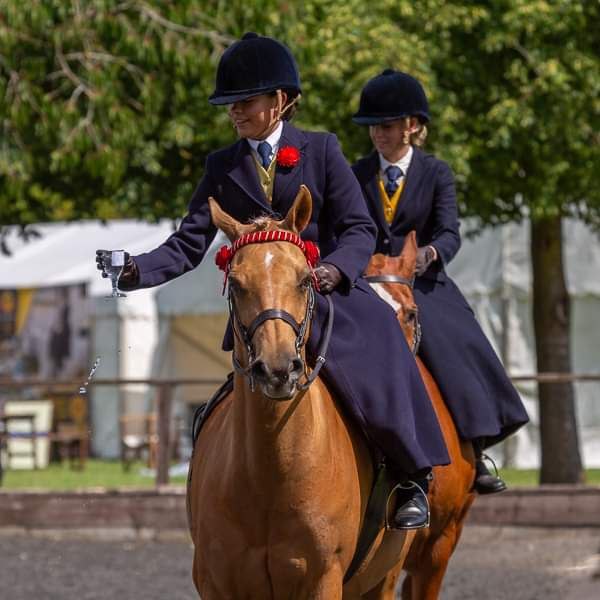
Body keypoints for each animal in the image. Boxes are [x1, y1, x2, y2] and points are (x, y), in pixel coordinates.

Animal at [188, 189, 474, 600]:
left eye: (304, 280)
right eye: (238, 285)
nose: (278, 368)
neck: (268, 474)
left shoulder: (327, 578)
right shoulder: (216, 582)